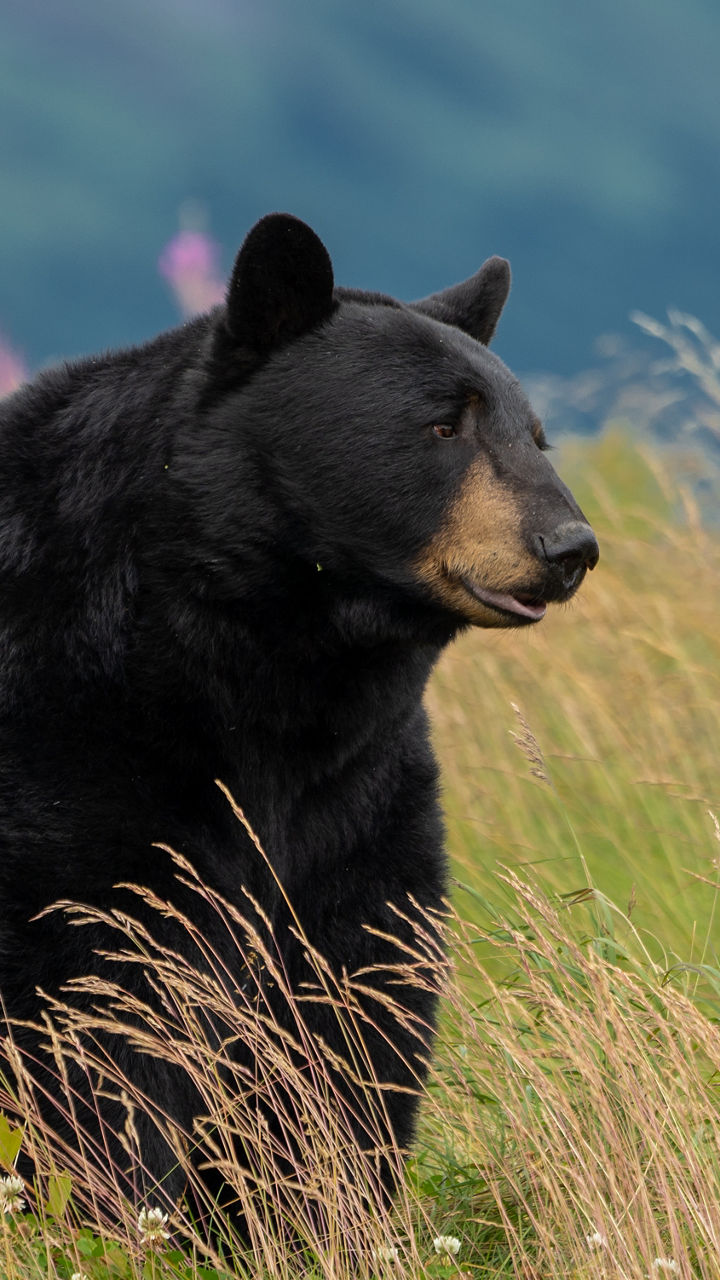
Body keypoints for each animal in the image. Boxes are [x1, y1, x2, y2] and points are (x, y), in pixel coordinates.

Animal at [0, 213, 597, 1233]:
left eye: (535, 435)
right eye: (443, 424)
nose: (568, 546)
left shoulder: (358, 793)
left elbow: (351, 1000)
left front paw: (322, 1213)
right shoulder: (74, 757)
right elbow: (99, 1006)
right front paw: (108, 1212)